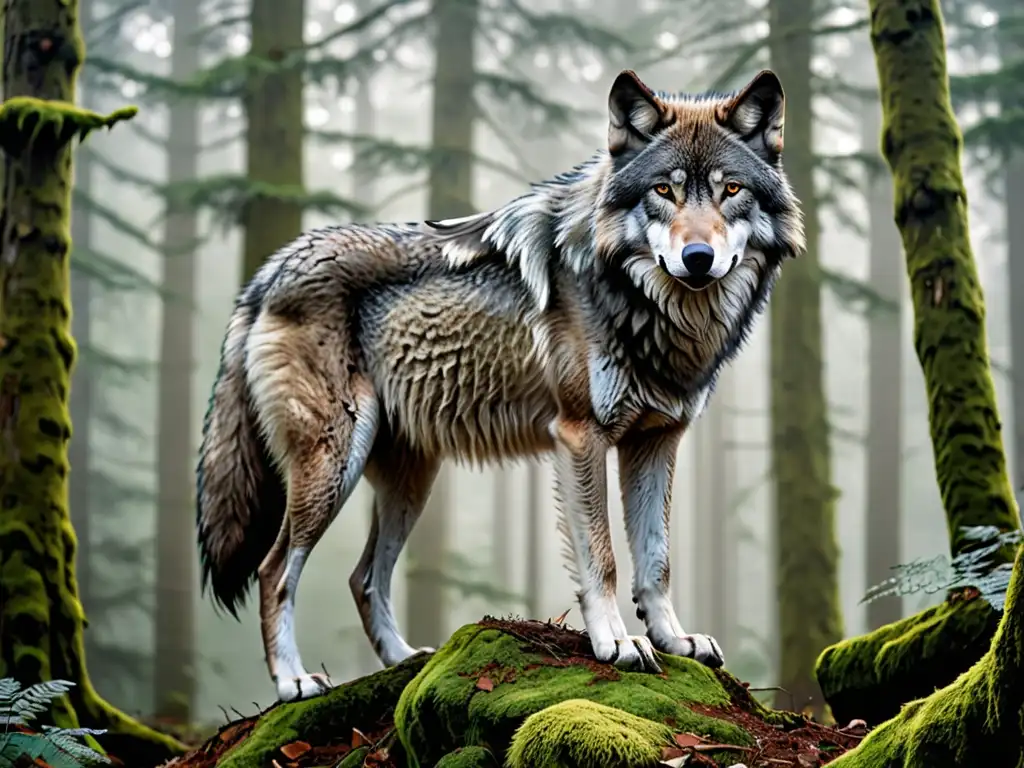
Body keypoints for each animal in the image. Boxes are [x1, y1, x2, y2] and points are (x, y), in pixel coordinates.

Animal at [196, 68, 804, 702]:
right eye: (665, 190)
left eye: (730, 190)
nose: (698, 257)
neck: (655, 310)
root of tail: (270, 269)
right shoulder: (580, 437)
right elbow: (604, 558)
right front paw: (617, 643)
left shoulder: (656, 441)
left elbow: (655, 560)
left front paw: (674, 640)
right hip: (334, 464)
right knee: (274, 570)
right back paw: (293, 680)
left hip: (410, 482)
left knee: (364, 576)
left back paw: (404, 660)